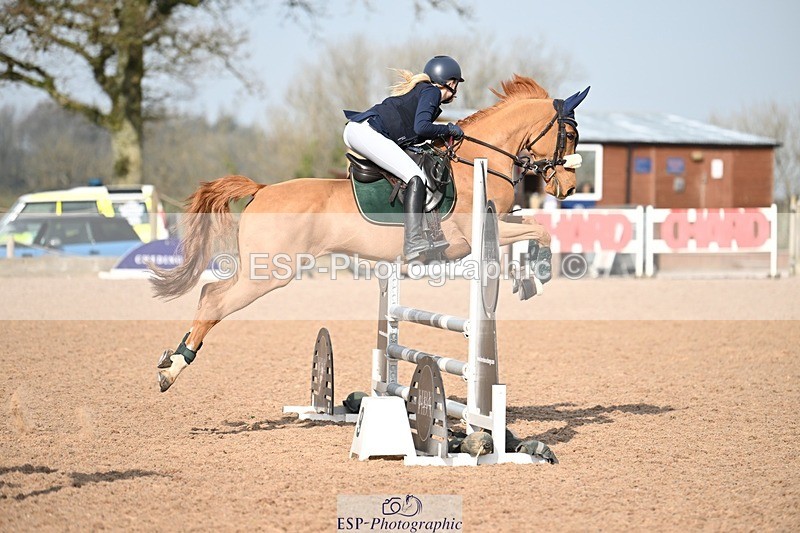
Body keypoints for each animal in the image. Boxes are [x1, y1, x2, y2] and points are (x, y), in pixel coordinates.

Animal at [151, 75, 589, 392]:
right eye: (570, 135)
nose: (568, 188)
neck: (479, 160)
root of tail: (261, 189)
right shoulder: (478, 232)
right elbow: (540, 232)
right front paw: (537, 276)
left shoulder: (498, 224)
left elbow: (537, 229)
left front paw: (529, 278)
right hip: (271, 271)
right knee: (213, 299)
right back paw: (173, 369)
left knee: (210, 293)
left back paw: (171, 361)